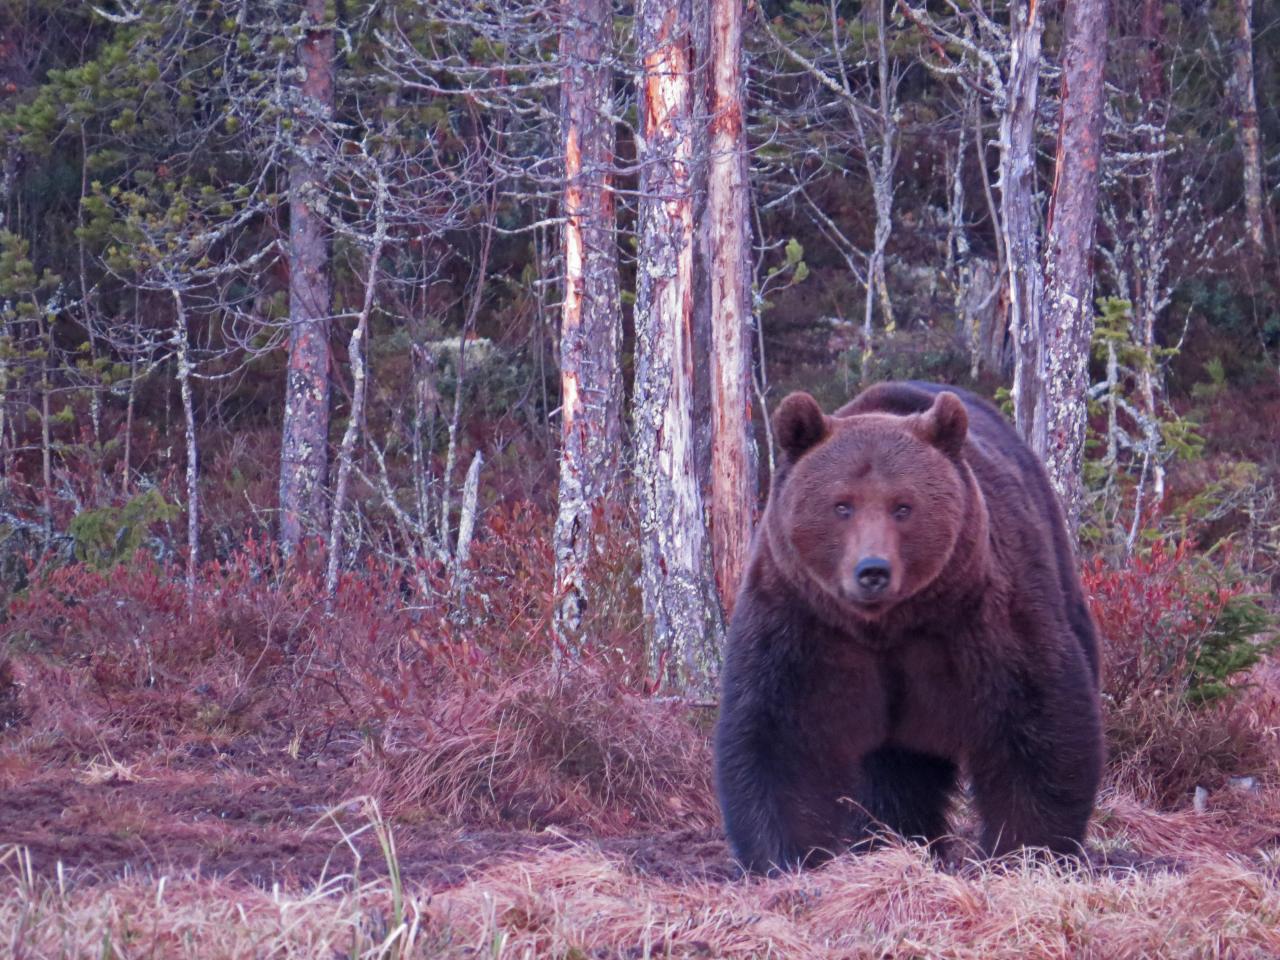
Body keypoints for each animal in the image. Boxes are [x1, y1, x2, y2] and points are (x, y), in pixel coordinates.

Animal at [716, 381, 1105, 870]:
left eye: (903, 506)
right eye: (841, 505)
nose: (872, 570)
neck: (886, 624)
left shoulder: (982, 618)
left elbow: (1035, 722)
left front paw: (1025, 850)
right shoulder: (799, 620)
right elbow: (781, 737)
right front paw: (786, 856)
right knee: (894, 772)